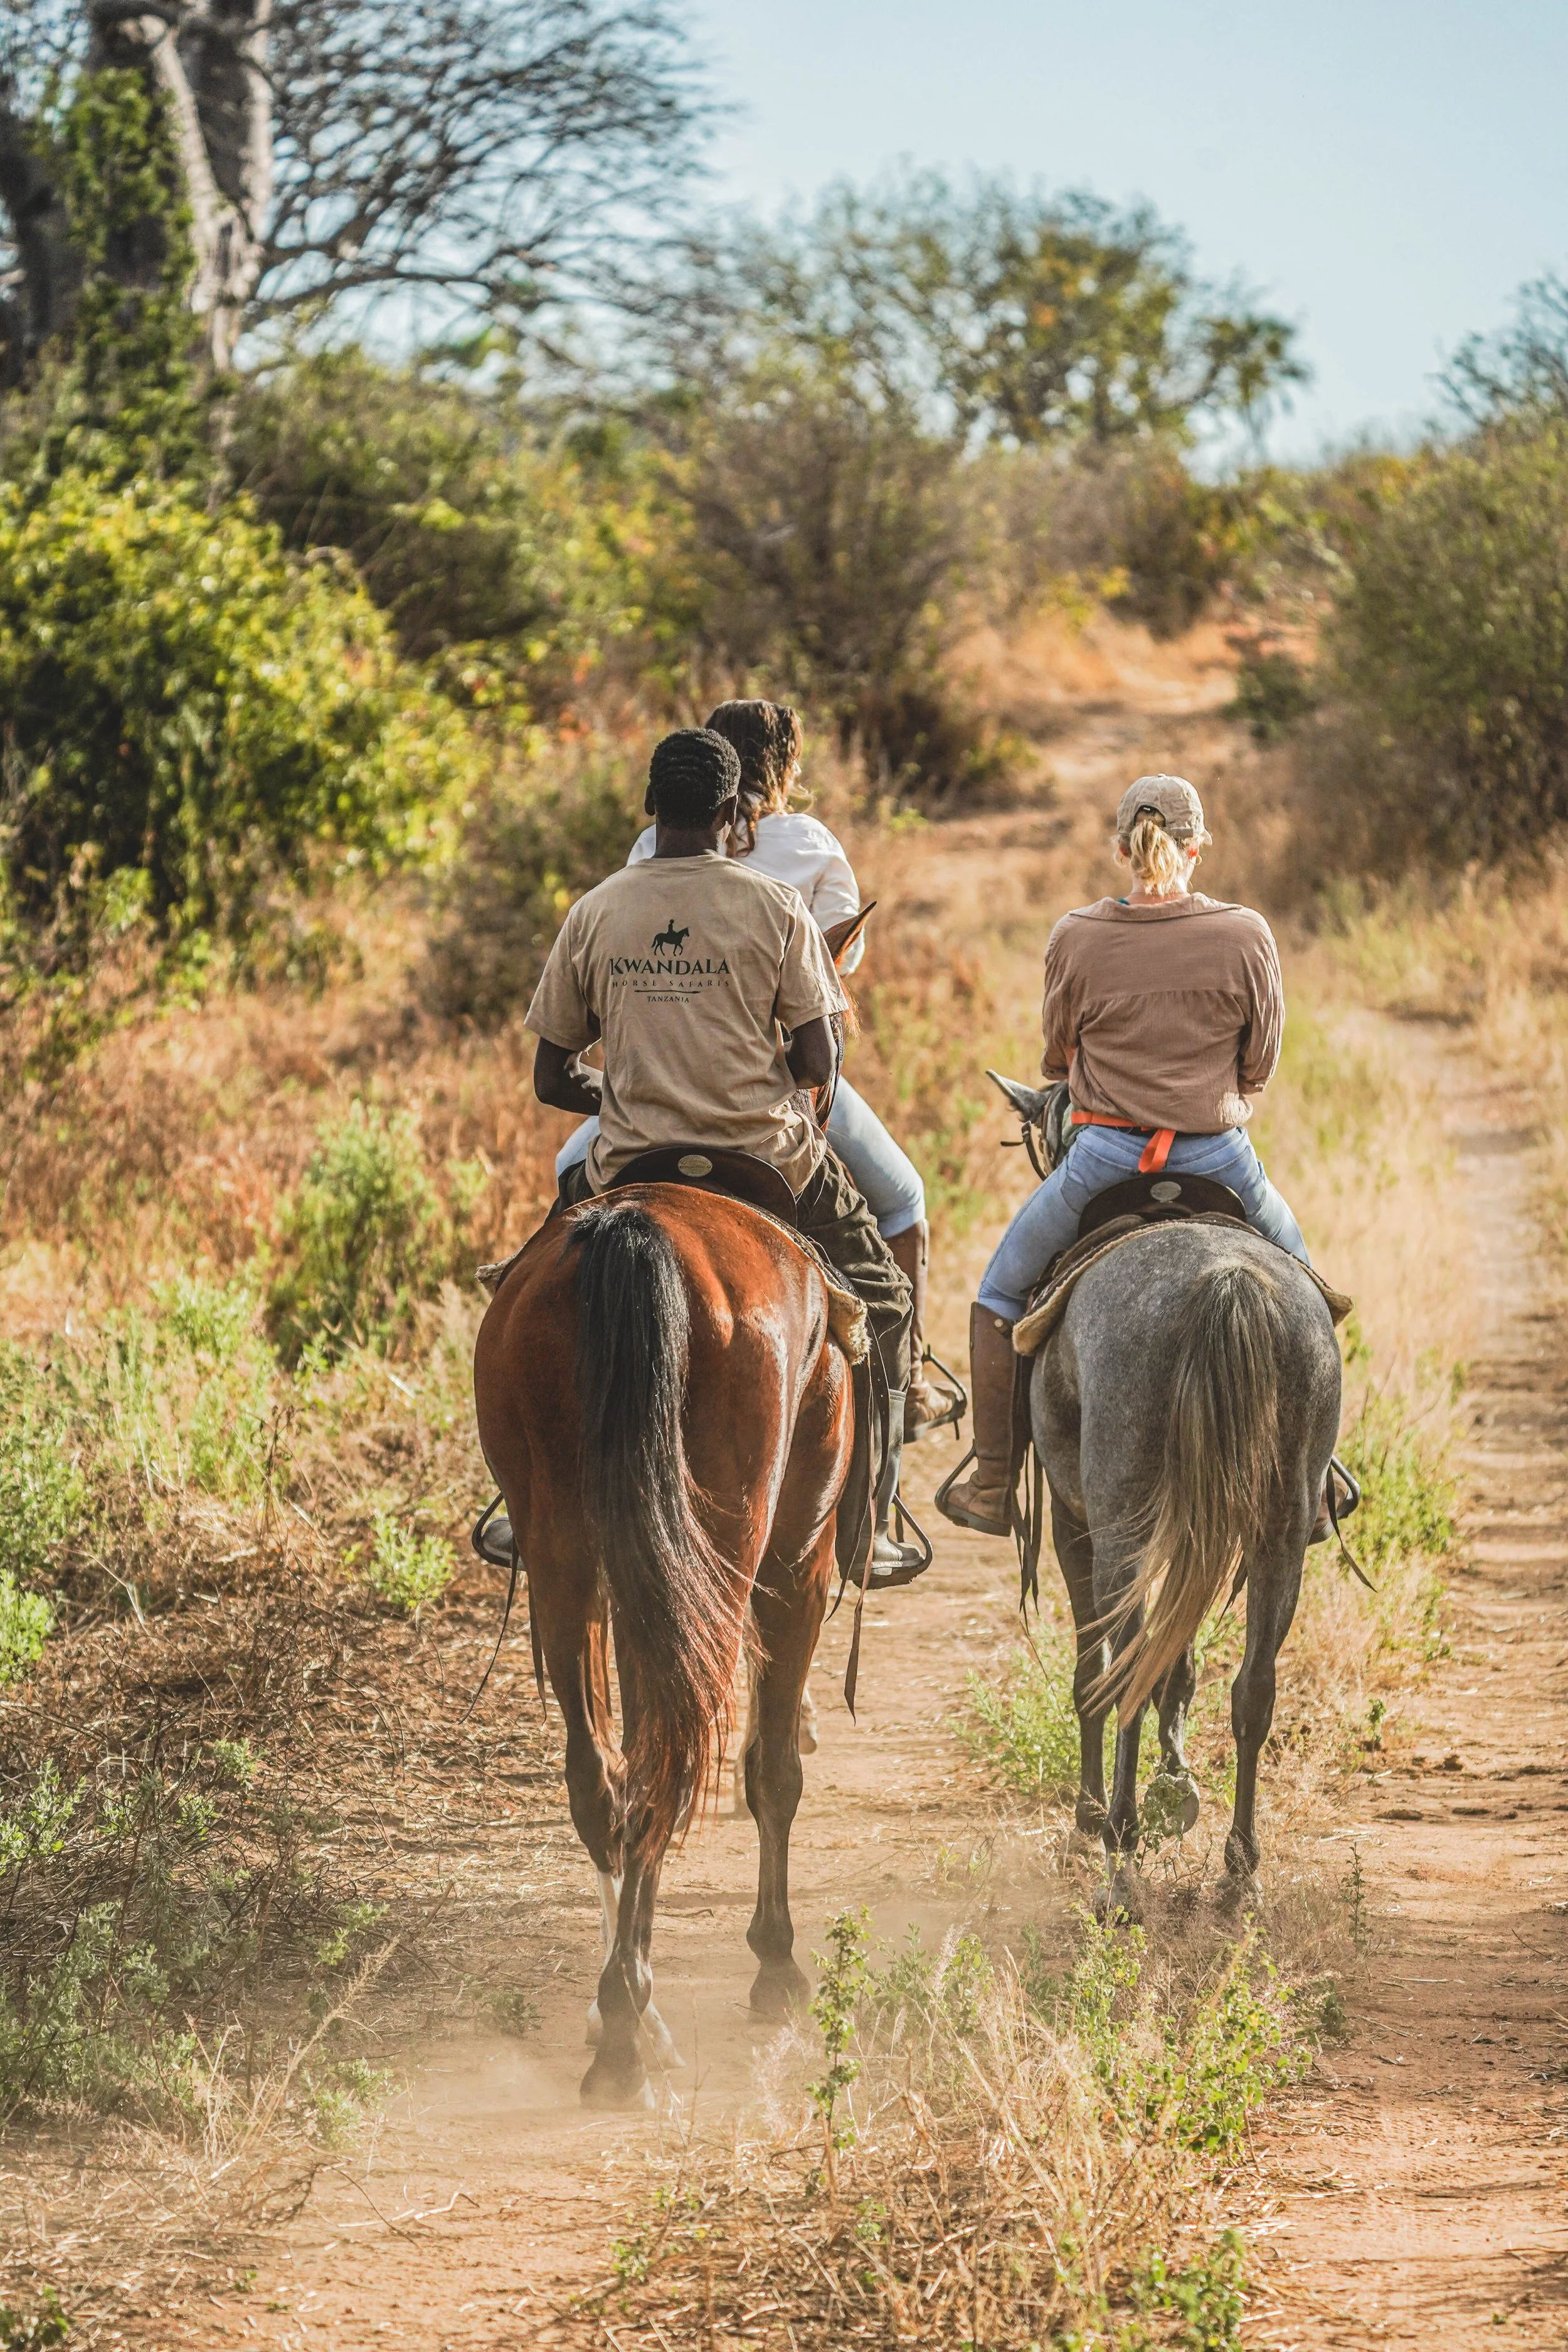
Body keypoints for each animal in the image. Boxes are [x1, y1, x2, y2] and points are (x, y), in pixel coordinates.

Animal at [473, 1184, 855, 2106]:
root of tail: (636, 1232)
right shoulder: (800, 1561)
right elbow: (773, 1772)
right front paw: (777, 1966)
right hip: (728, 1541)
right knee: (668, 1765)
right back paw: (628, 2032)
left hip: (573, 1550)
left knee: (605, 1778)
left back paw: (623, 2021)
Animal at [1022, 1215, 1342, 1917]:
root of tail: (1226, 1283)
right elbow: (1181, 1660)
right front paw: (1177, 1780)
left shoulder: (1070, 1521)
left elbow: (1096, 1675)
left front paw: (1089, 1818)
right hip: (1280, 1530)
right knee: (1254, 1690)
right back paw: (1239, 1873)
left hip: (1121, 1530)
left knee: (1124, 1677)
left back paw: (1119, 1860)